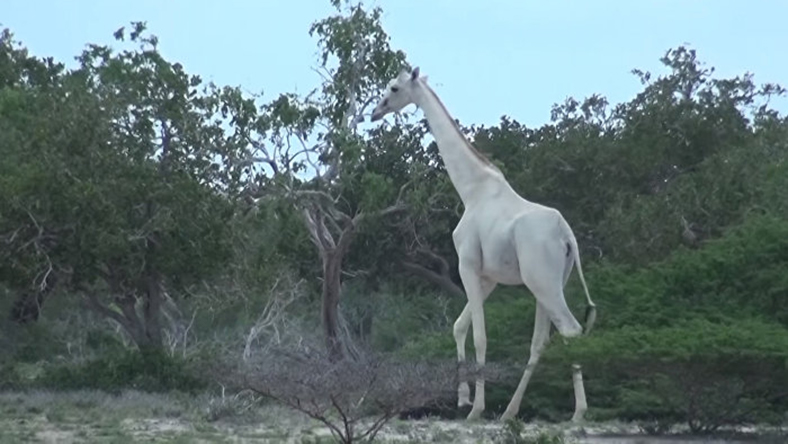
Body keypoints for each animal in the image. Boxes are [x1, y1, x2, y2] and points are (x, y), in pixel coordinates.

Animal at [370, 67, 596, 422]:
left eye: (394, 88)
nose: (374, 112)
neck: (471, 190)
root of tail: (567, 236)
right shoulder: (489, 277)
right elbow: (458, 326)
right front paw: (463, 398)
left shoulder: (467, 265)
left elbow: (479, 335)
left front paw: (475, 408)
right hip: (548, 283)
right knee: (541, 341)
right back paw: (511, 412)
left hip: (542, 283)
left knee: (570, 330)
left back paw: (578, 413)